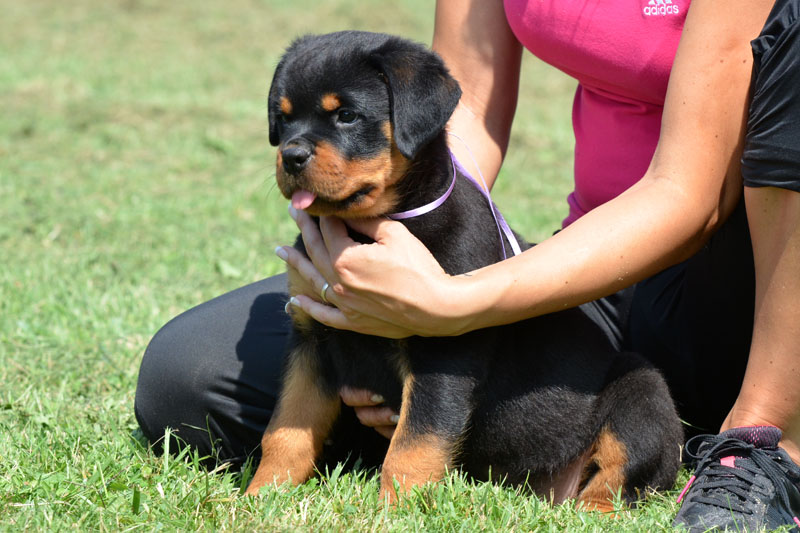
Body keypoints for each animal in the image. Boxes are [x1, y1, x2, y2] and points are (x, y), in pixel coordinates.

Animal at [245, 30, 680, 512]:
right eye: (283, 119)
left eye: (347, 115)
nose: (291, 155)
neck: (367, 227)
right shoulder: (310, 338)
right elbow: (286, 431)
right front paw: (259, 497)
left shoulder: (443, 347)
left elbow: (415, 444)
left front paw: (393, 512)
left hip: (643, 391)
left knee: (618, 478)